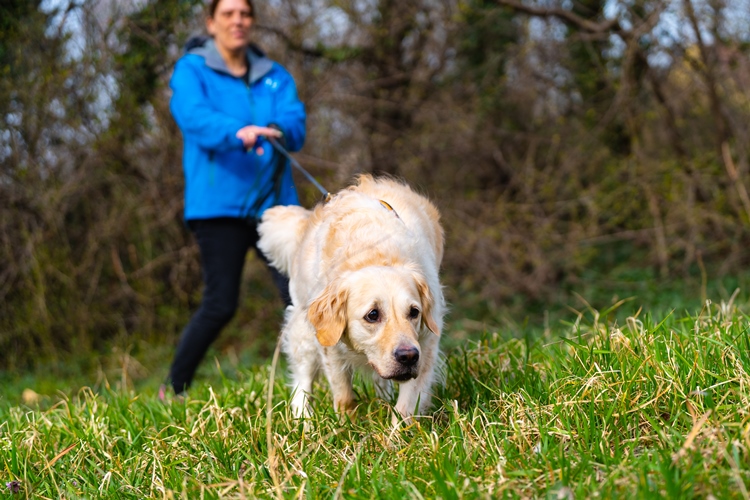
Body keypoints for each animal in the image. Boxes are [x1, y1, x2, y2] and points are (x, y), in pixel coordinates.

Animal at [258, 174, 446, 420]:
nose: (408, 356)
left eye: (414, 312)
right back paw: (302, 418)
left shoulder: (426, 343)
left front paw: (397, 430)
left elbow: (405, 405)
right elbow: (343, 394)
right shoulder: (329, 342)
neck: (373, 251)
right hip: (303, 331)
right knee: (302, 380)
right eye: (372, 315)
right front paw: (346, 423)